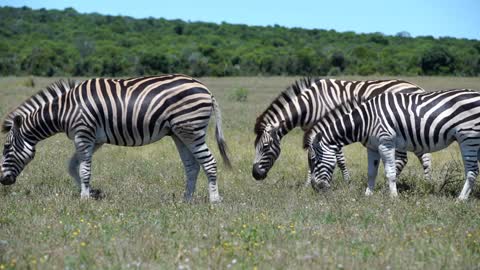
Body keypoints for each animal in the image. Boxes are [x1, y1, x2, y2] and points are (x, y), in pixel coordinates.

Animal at [0, 74, 232, 202]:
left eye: (6, 147)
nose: (3, 180)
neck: (64, 110)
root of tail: (206, 89)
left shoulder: (84, 134)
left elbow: (83, 169)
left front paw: (84, 198)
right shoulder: (94, 139)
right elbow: (73, 166)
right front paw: (91, 192)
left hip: (191, 130)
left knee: (209, 162)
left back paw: (215, 200)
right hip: (179, 133)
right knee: (192, 166)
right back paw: (186, 199)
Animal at [253, 77, 434, 185]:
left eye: (266, 147)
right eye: (255, 147)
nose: (255, 174)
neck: (311, 104)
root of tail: (417, 87)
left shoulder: (327, 128)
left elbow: (338, 158)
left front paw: (346, 181)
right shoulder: (313, 133)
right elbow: (311, 156)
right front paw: (308, 183)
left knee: (414, 157)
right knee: (416, 157)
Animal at [304, 89, 480, 200]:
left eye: (315, 160)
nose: (315, 188)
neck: (365, 119)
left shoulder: (385, 143)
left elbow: (390, 172)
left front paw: (394, 198)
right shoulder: (372, 147)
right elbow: (371, 172)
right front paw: (368, 195)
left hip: (468, 137)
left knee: (472, 171)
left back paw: (461, 199)